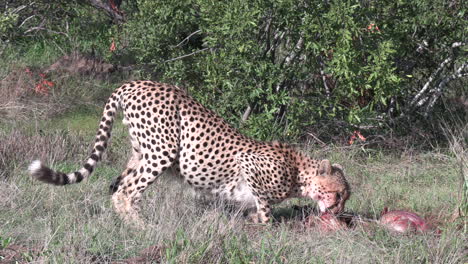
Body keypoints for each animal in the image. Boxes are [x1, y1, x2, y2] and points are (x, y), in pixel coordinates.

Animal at [28, 80, 352, 225]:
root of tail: (136, 82)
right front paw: (261, 224)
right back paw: (142, 227)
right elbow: (264, 207)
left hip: (140, 151)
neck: (298, 173)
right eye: (338, 195)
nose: (339, 212)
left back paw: (125, 222)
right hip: (163, 150)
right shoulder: (248, 163)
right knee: (127, 191)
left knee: (116, 185)